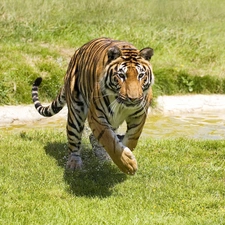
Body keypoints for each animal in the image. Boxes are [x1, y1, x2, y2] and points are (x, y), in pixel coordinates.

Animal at [31, 37, 154, 175]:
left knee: (92, 136)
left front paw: (126, 151)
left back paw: (103, 157)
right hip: (76, 112)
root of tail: (77, 53)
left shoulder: (140, 115)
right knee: (74, 140)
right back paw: (74, 164)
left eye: (141, 75)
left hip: (112, 120)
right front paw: (128, 164)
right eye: (121, 75)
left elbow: (132, 138)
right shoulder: (96, 116)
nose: (133, 99)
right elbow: (109, 140)